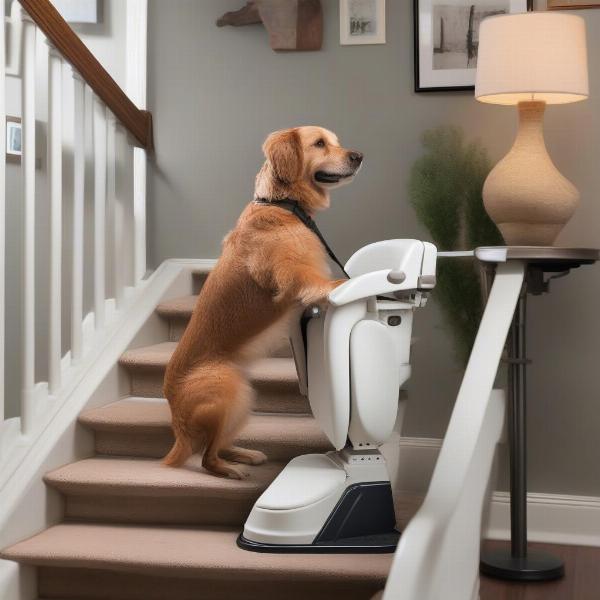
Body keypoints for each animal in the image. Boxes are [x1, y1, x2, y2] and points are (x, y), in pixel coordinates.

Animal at [162, 125, 364, 478]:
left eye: (336, 141)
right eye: (319, 143)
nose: (359, 156)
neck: (283, 205)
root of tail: (178, 426)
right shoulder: (299, 280)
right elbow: (333, 283)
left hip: (243, 398)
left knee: (215, 446)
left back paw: (243, 454)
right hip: (229, 389)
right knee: (206, 457)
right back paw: (230, 470)